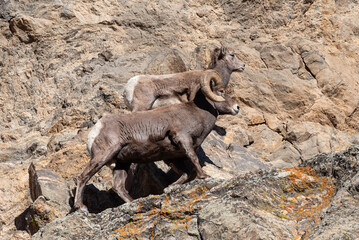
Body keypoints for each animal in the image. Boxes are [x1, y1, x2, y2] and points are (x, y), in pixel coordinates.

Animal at [74, 70, 239, 211]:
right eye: (221, 91)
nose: (237, 108)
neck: (197, 114)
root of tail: (97, 128)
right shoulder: (183, 139)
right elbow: (194, 159)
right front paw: (204, 176)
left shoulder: (172, 157)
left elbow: (185, 174)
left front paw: (169, 187)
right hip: (103, 156)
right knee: (83, 177)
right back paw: (81, 207)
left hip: (122, 164)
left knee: (118, 187)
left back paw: (133, 202)